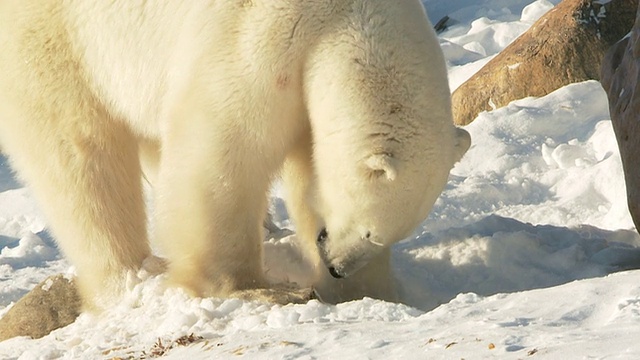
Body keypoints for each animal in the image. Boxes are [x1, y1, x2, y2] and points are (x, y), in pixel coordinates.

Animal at [0, 0, 470, 310]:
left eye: (386, 236)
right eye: (370, 231)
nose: (337, 266)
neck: (345, 17)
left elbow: (309, 174)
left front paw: (369, 292)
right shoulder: (265, 33)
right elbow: (224, 148)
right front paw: (247, 288)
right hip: (58, 39)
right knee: (80, 154)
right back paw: (129, 274)